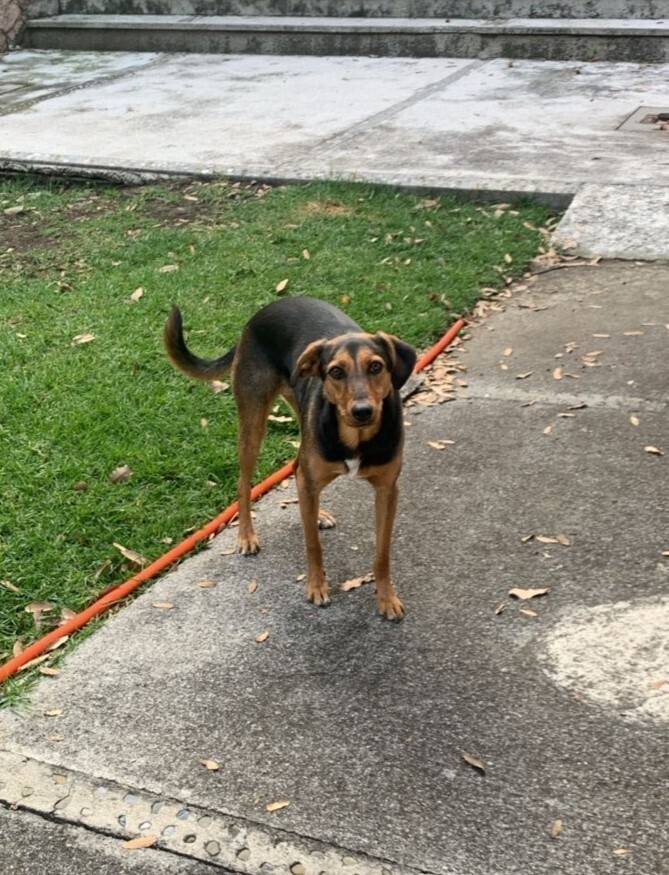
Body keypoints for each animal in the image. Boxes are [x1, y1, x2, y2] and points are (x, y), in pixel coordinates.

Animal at [164, 298, 414, 620]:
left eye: (376, 366)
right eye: (336, 372)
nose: (362, 411)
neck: (356, 438)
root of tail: (264, 311)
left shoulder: (387, 490)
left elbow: (382, 553)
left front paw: (386, 598)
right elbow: (313, 546)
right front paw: (317, 586)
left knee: (297, 469)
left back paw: (316, 513)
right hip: (253, 423)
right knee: (244, 482)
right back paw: (247, 536)